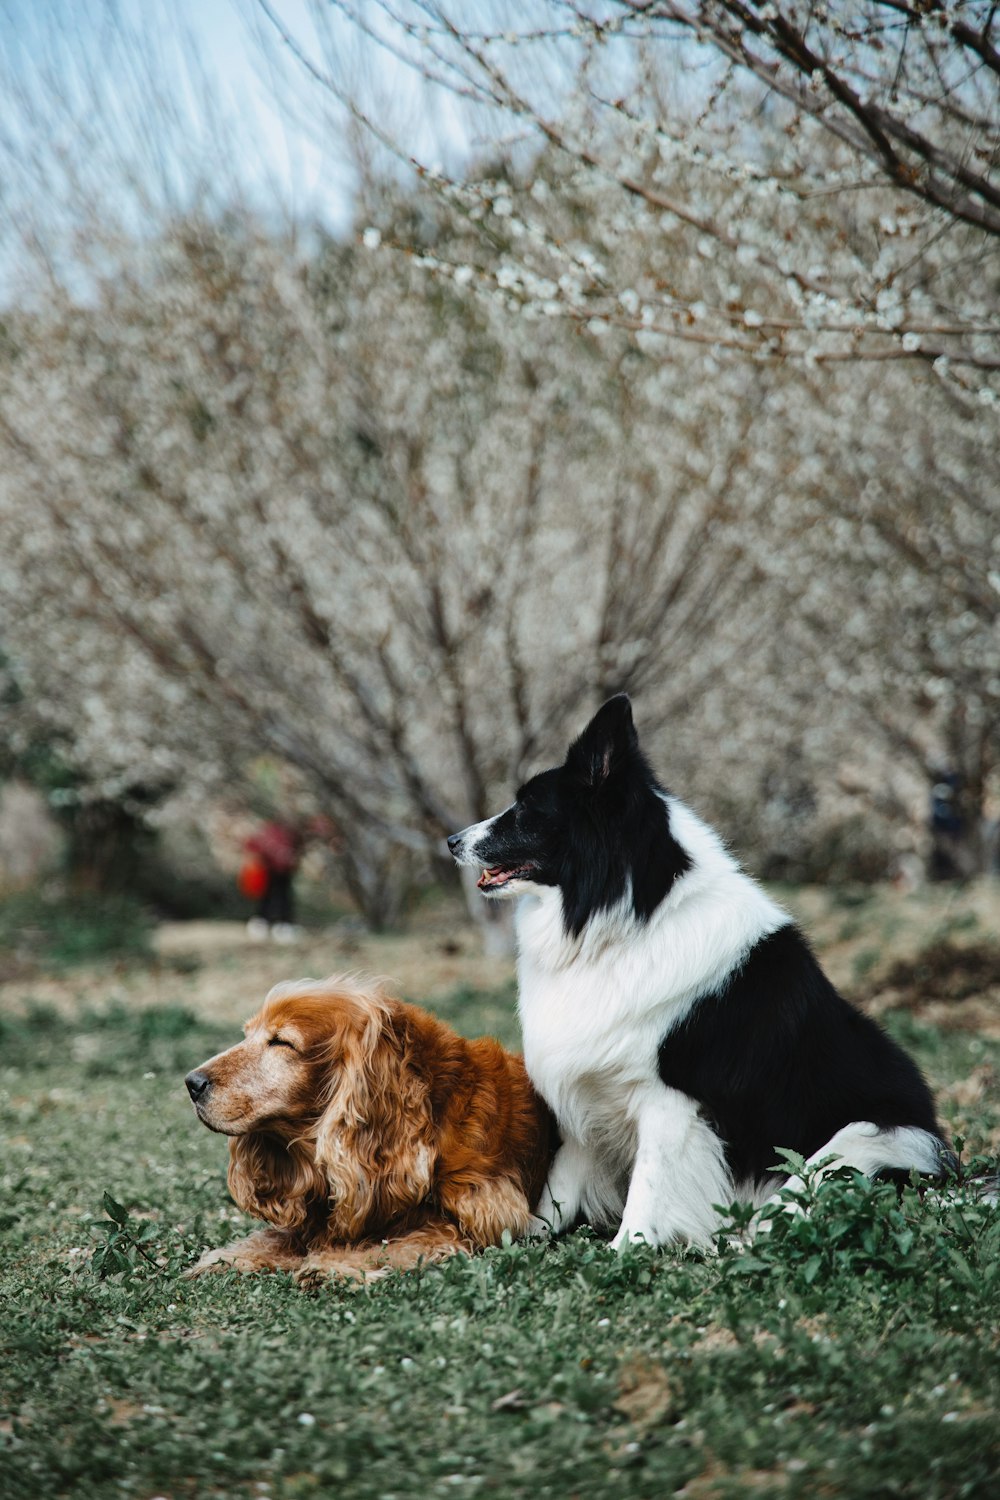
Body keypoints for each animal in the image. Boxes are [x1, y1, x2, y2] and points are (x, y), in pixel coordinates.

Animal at [187, 978, 554, 1284]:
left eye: (281, 1042)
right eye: (247, 1035)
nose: (192, 1083)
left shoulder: (489, 1215)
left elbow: (401, 1243)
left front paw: (333, 1265)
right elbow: (286, 1235)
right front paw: (230, 1256)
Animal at [446, 696, 953, 1248]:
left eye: (526, 810)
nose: (451, 840)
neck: (630, 921)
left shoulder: (671, 1102)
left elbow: (649, 1184)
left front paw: (625, 1249)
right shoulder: (587, 1089)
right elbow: (561, 1182)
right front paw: (524, 1239)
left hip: (871, 1139)